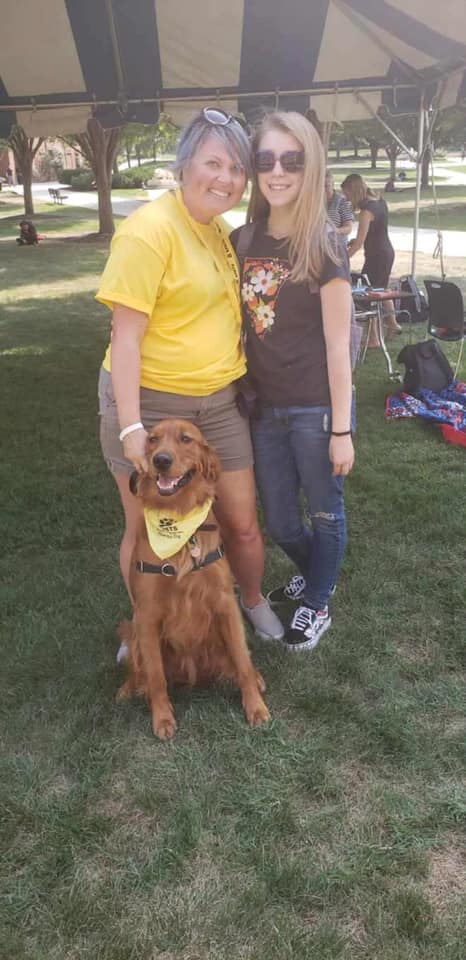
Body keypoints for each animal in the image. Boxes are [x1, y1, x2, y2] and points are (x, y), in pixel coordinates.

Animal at [117, 418, 270, 740]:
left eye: (186, 439)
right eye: (152, 440)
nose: (161, 460)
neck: (178, 517)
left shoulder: (225, 602)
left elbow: (242, 658)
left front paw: (255, 706)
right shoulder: (146, 612)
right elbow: (155, 676)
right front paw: (162, 718)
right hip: (136, 631)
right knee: (141, 668)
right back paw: (129, 688)